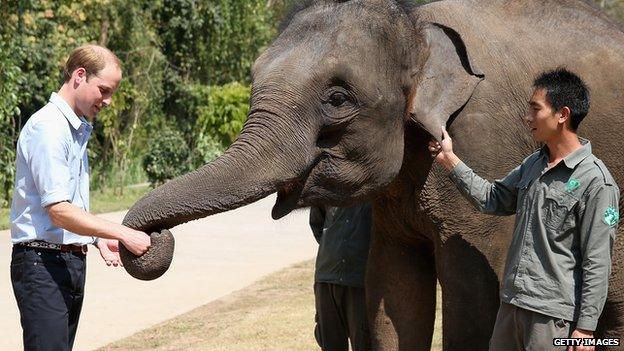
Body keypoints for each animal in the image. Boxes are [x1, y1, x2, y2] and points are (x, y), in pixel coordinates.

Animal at [119, 0, 620, 350]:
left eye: (338, 99)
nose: (150, 241)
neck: (416, 25)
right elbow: (390, 289)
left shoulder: (485, 141)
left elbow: (474, 296)